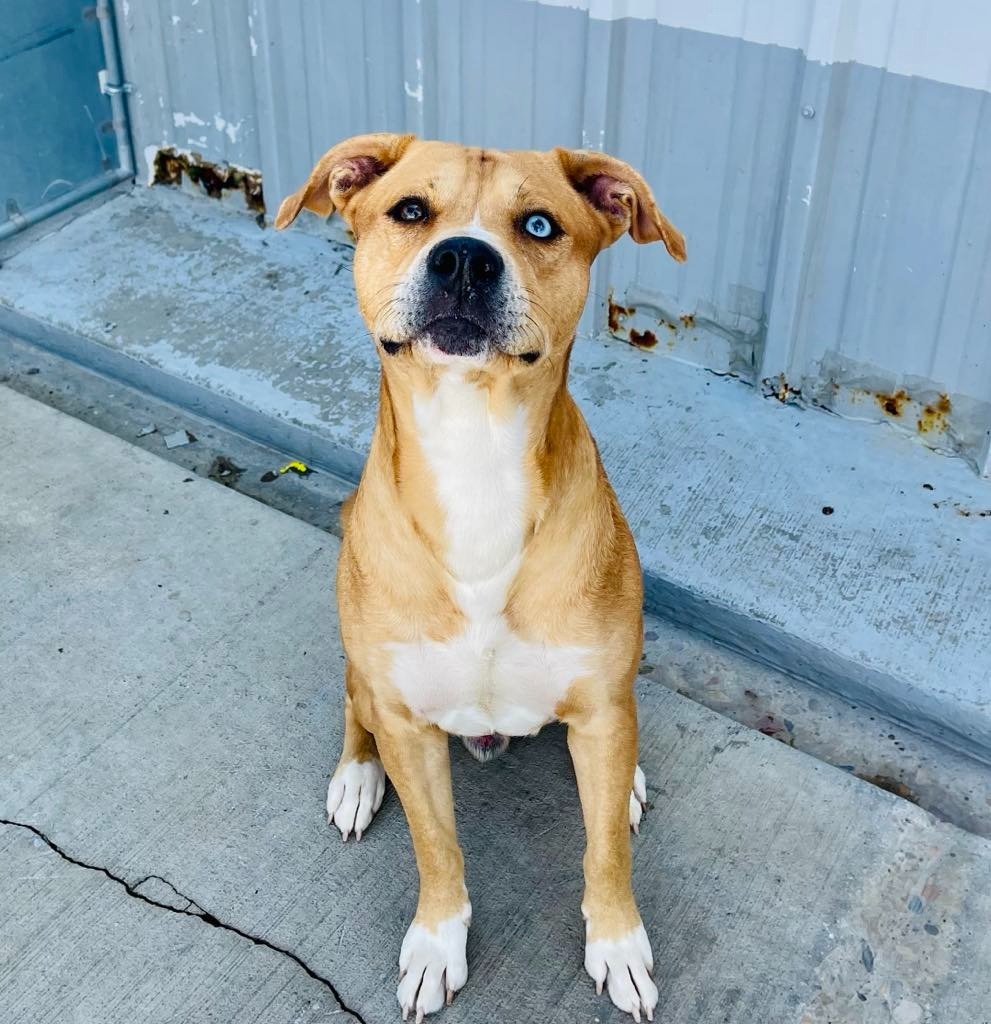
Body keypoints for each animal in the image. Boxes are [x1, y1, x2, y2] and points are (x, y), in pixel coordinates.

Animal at [274, 138, 683, 1024]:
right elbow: (437, 848)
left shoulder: (601, 707)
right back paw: (356, 778)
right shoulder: (408, 722)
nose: (463, 257)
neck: (476, 453)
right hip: (370, 680)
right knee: (353, 702)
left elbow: (603, 851)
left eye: (538, 224)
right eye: (409, 211)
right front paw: (436, 944)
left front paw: (616, 943)